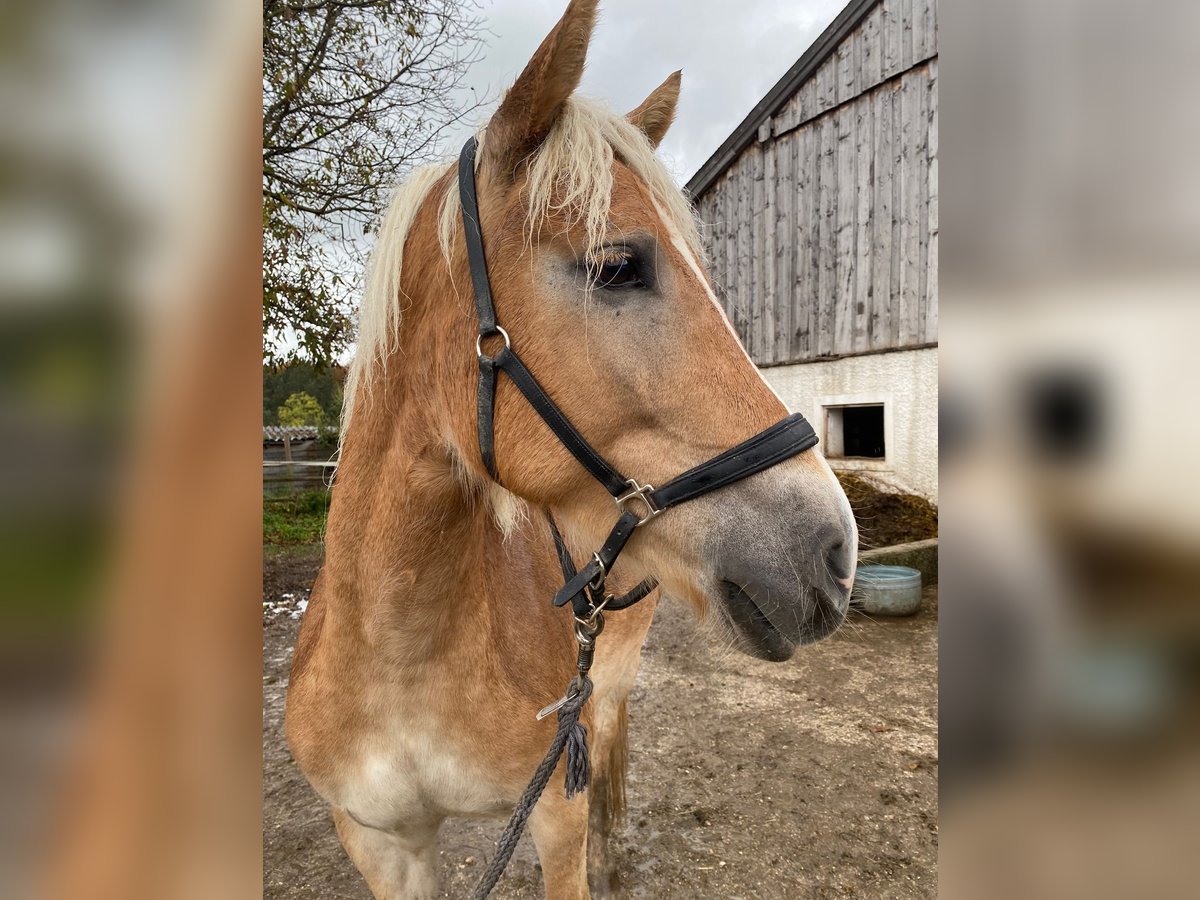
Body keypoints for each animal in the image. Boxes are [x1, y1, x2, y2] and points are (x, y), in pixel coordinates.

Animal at [285, 0, 859, 897]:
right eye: (617, 265)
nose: (834, 551)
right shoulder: (380, 845)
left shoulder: (552, 812)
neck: (399, 657)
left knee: (612, 727)